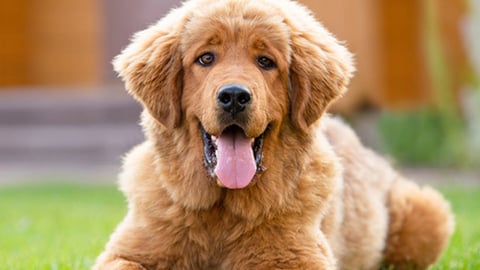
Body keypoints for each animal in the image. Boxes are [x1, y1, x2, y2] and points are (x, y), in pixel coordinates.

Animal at [94, 1, 454, 268]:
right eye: (206, 58)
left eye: (265, 61)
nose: (234, 96)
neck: (222, 212)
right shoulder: (126, 252)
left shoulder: (299, 256)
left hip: (425, 215)